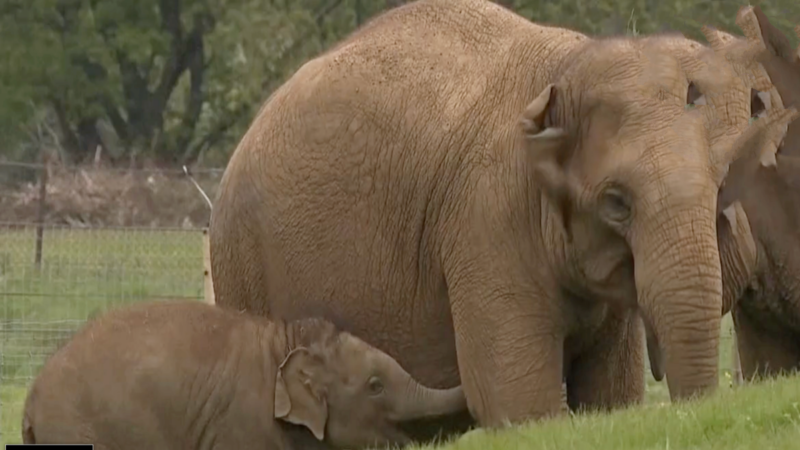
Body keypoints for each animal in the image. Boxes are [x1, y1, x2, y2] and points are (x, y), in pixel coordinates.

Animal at [208, 0, 792, 430]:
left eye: (721, 188)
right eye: (616, 203)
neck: (566, 70)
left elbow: (610, 395)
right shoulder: (486, 217)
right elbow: (518, 402)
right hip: (241, 262)